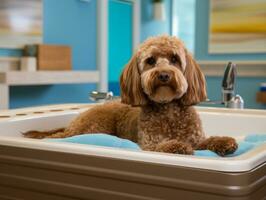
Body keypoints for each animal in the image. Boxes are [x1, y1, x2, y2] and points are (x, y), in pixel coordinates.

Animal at [24, 35, 237, 156]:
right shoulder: (149, 144)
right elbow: (165, 145)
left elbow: (206, 141)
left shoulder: (195, 138)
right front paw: (177, 146)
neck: (168, 110)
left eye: (174, 59)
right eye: (150, 61)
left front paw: (223, 141)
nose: (164, 75)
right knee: (61, 136)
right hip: (93, 127)